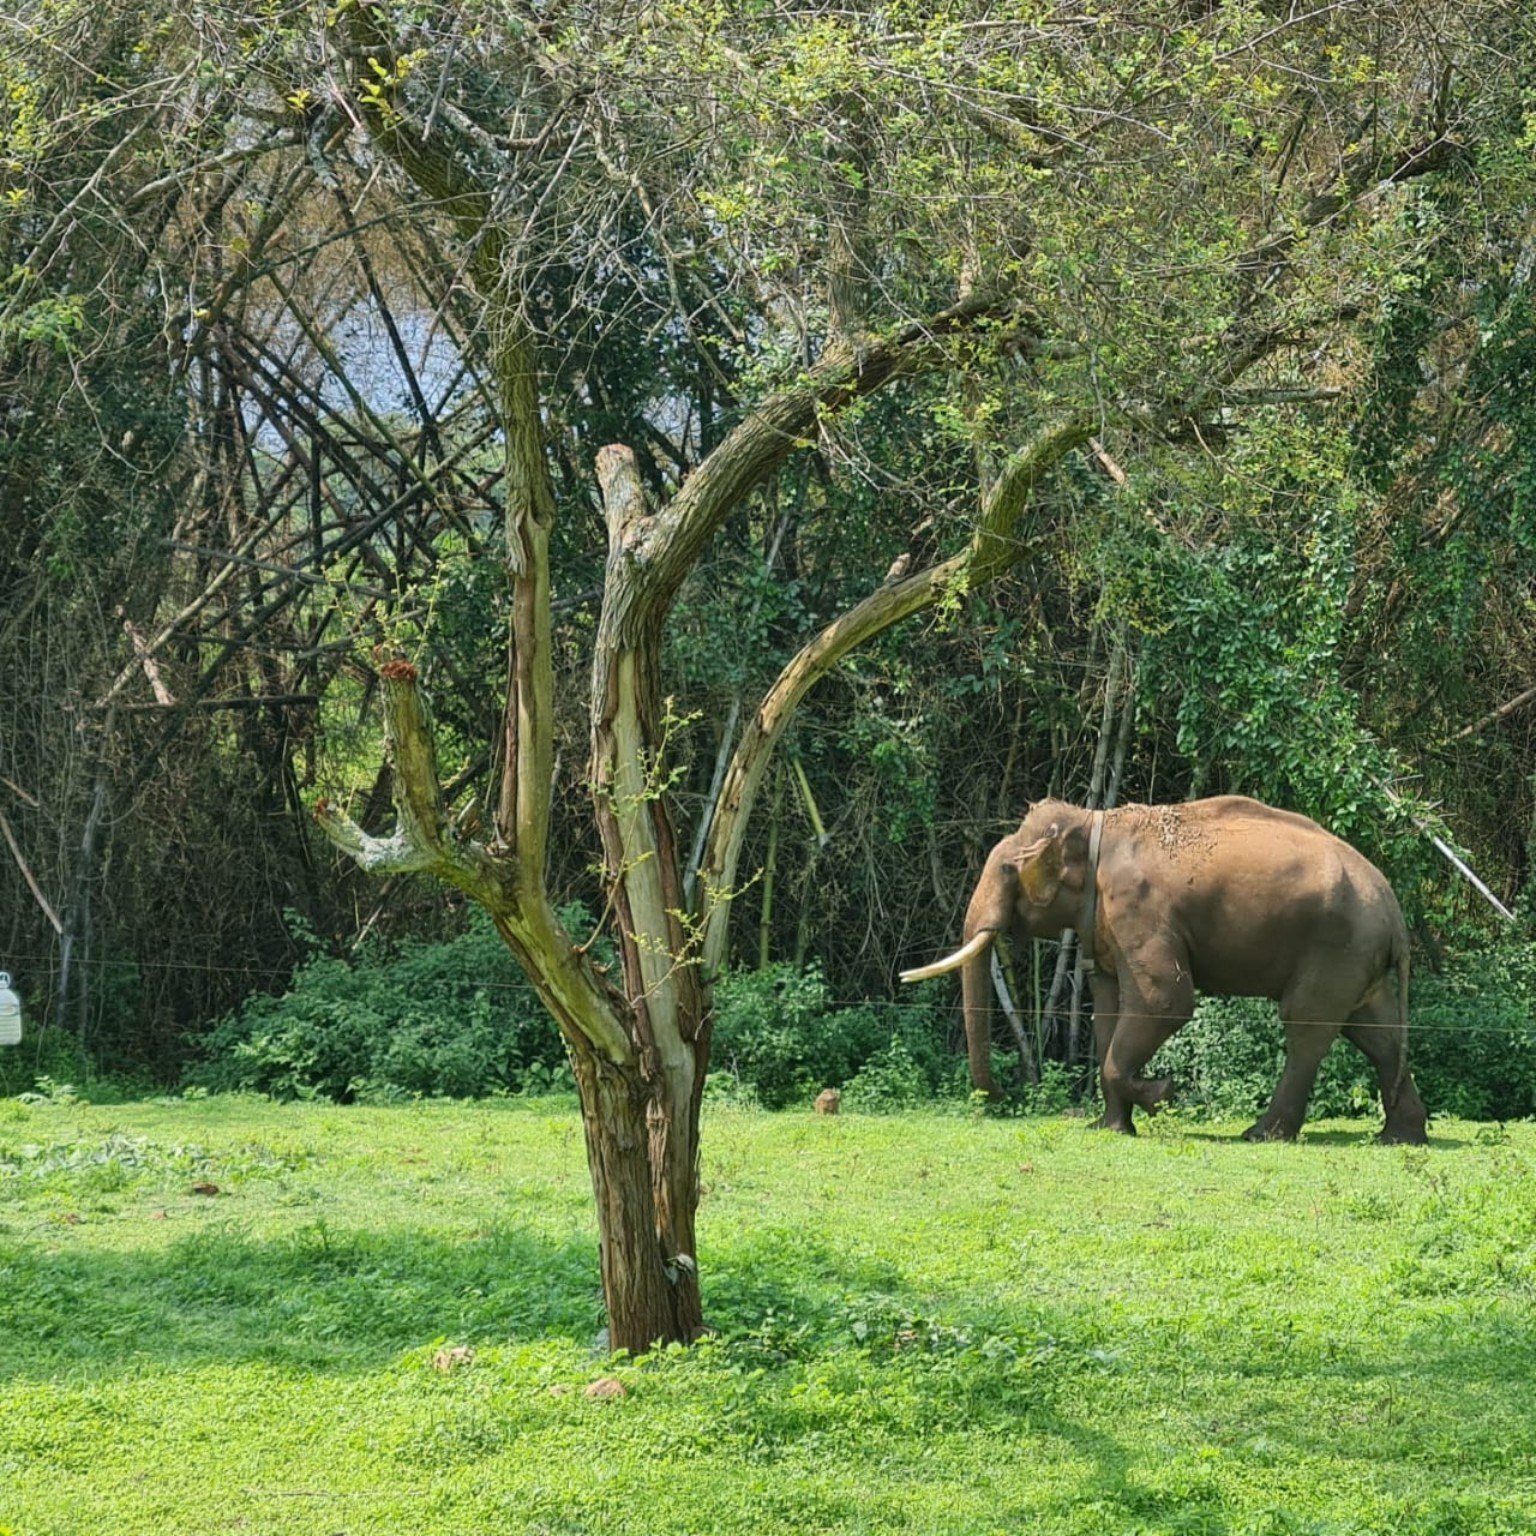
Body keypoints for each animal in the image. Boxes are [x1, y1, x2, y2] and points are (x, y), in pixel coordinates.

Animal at [901, 795, 1428, 1143]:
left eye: (1009, 871)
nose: (1001, 1096)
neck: (1092, 822)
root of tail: (1395, 913)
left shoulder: (1138, 906)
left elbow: (1165, 1001)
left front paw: (1163, 1094)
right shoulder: (1104, 925)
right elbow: (1106, 1008)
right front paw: (1110, 1128)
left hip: (1335, 946)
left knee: (1307, 1027)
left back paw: (1260, 1134)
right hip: (1359, 958)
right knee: (1378, 1036)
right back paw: (1400, 1138)